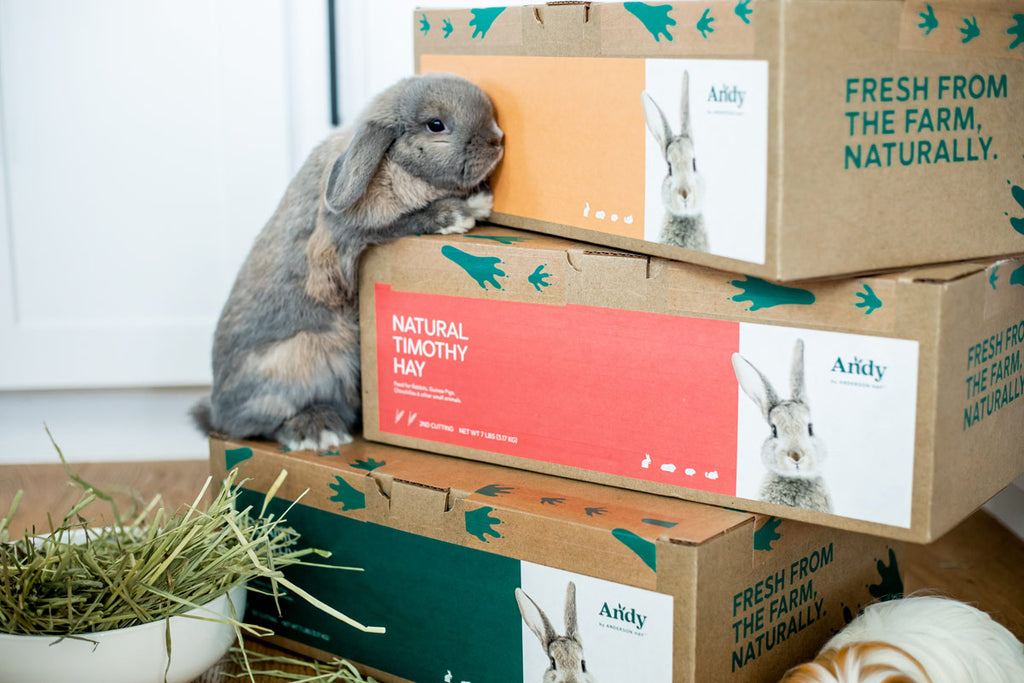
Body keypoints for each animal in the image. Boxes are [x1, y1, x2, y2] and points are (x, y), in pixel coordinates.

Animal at [192, 72, 503, 450]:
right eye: (435, 125)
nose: (497, 140)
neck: (393, 165)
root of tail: (217, 413)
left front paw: (479, 200)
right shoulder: (352, 235)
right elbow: (404, 222)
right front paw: (460, 212)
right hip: (299, 361)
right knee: (263, 424)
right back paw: (316, 431)